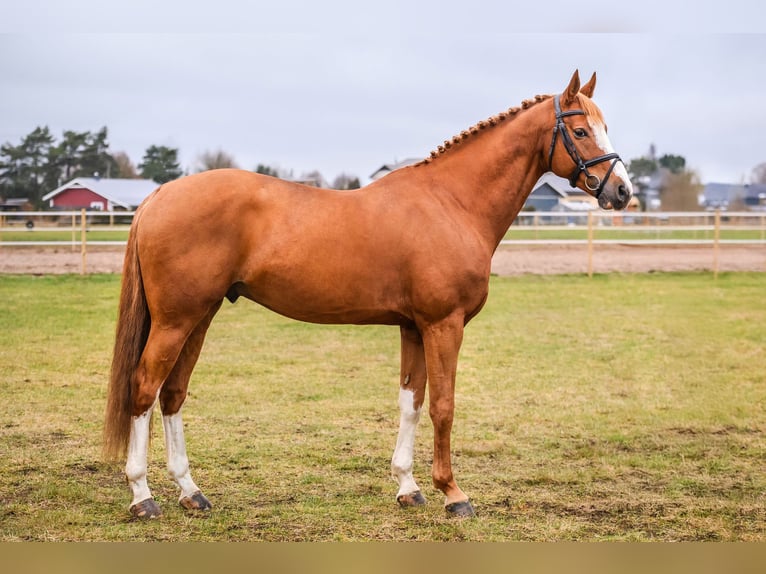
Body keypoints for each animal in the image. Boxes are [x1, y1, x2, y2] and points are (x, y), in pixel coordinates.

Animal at [105, 70, 632, 520]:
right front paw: (453, 494)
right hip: (176, 320)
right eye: (581, 131)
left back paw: (190, 492)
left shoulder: (414, 328)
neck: (451, 202)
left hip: (200, 315)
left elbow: (411, 402)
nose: (622, 192)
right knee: (144, 388)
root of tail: (159, 195)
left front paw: (409, 487)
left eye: (605, 126)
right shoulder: (444, 324)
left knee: (172, 394)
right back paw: (142, 496)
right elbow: (443, 405)